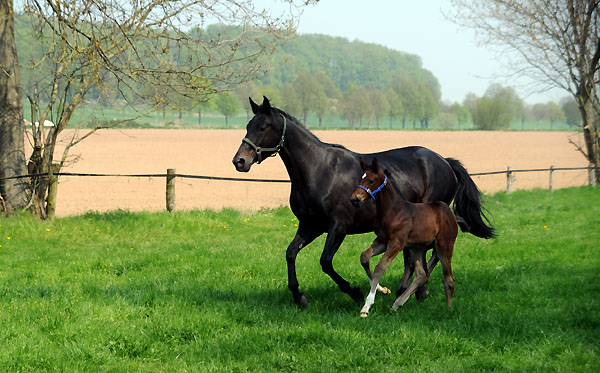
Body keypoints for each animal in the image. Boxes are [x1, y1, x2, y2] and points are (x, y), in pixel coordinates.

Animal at [350, 157, 458, 316]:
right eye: (360, 179)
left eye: (371, 180)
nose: (355, 199)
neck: (392, 210)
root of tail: (447, 210)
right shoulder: (382, 241)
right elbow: (364, 257)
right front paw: (383, 289)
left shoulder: (397, 243)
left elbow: (380, 267)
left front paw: (367, 306)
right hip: (416, 248)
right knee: (421, 274)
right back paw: (397, 304)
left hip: (444, 246)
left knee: (448, 278)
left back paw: (448, 309)